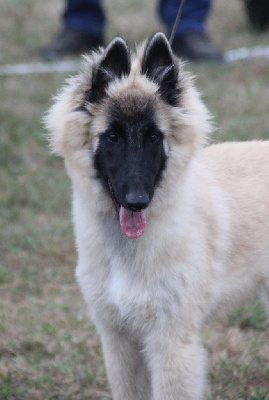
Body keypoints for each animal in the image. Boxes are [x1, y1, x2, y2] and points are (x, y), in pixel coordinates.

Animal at [45, 32, 268, 398]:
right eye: (113, 136)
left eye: (154, 137)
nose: (137, 202)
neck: (128, 254)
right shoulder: (119, 341)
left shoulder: (171, 341)